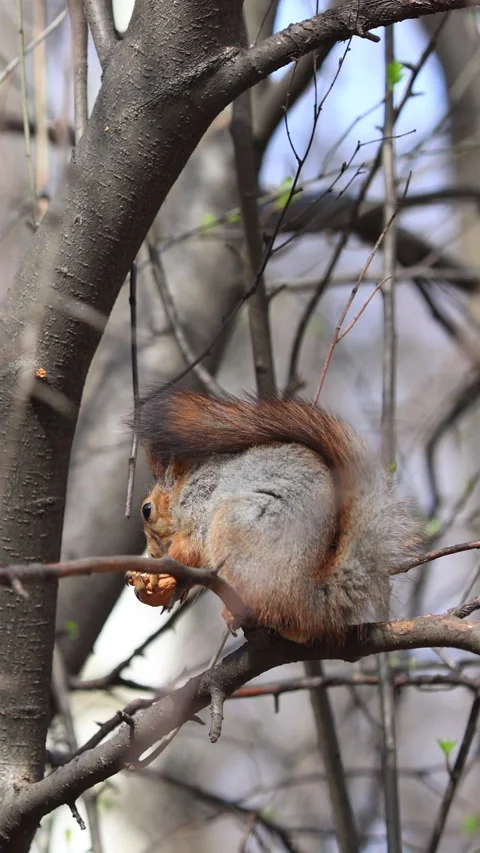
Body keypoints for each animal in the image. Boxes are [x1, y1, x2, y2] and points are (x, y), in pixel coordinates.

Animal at [126, 388, 417, 643]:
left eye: (146, 510)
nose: (152, 554)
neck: (185, 487)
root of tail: (307, 597)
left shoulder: (200, 508)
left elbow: (190, 549)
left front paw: (160, 570)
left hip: (234, 526)